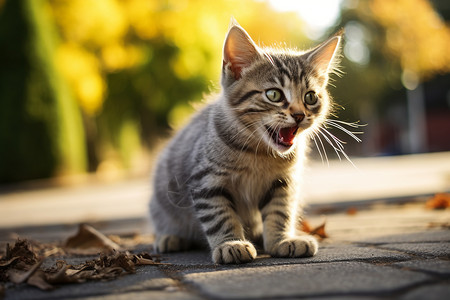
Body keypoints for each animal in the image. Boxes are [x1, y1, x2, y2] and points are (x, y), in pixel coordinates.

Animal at [149, 19, 342, 264]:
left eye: (310, 97)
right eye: (274, 95)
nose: (299, 115)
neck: (259, 153)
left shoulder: (283, 183)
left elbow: (280, 212)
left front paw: (281, 240)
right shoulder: (206, 181)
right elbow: (220, 216)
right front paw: (231, 244)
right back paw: (170, 237)